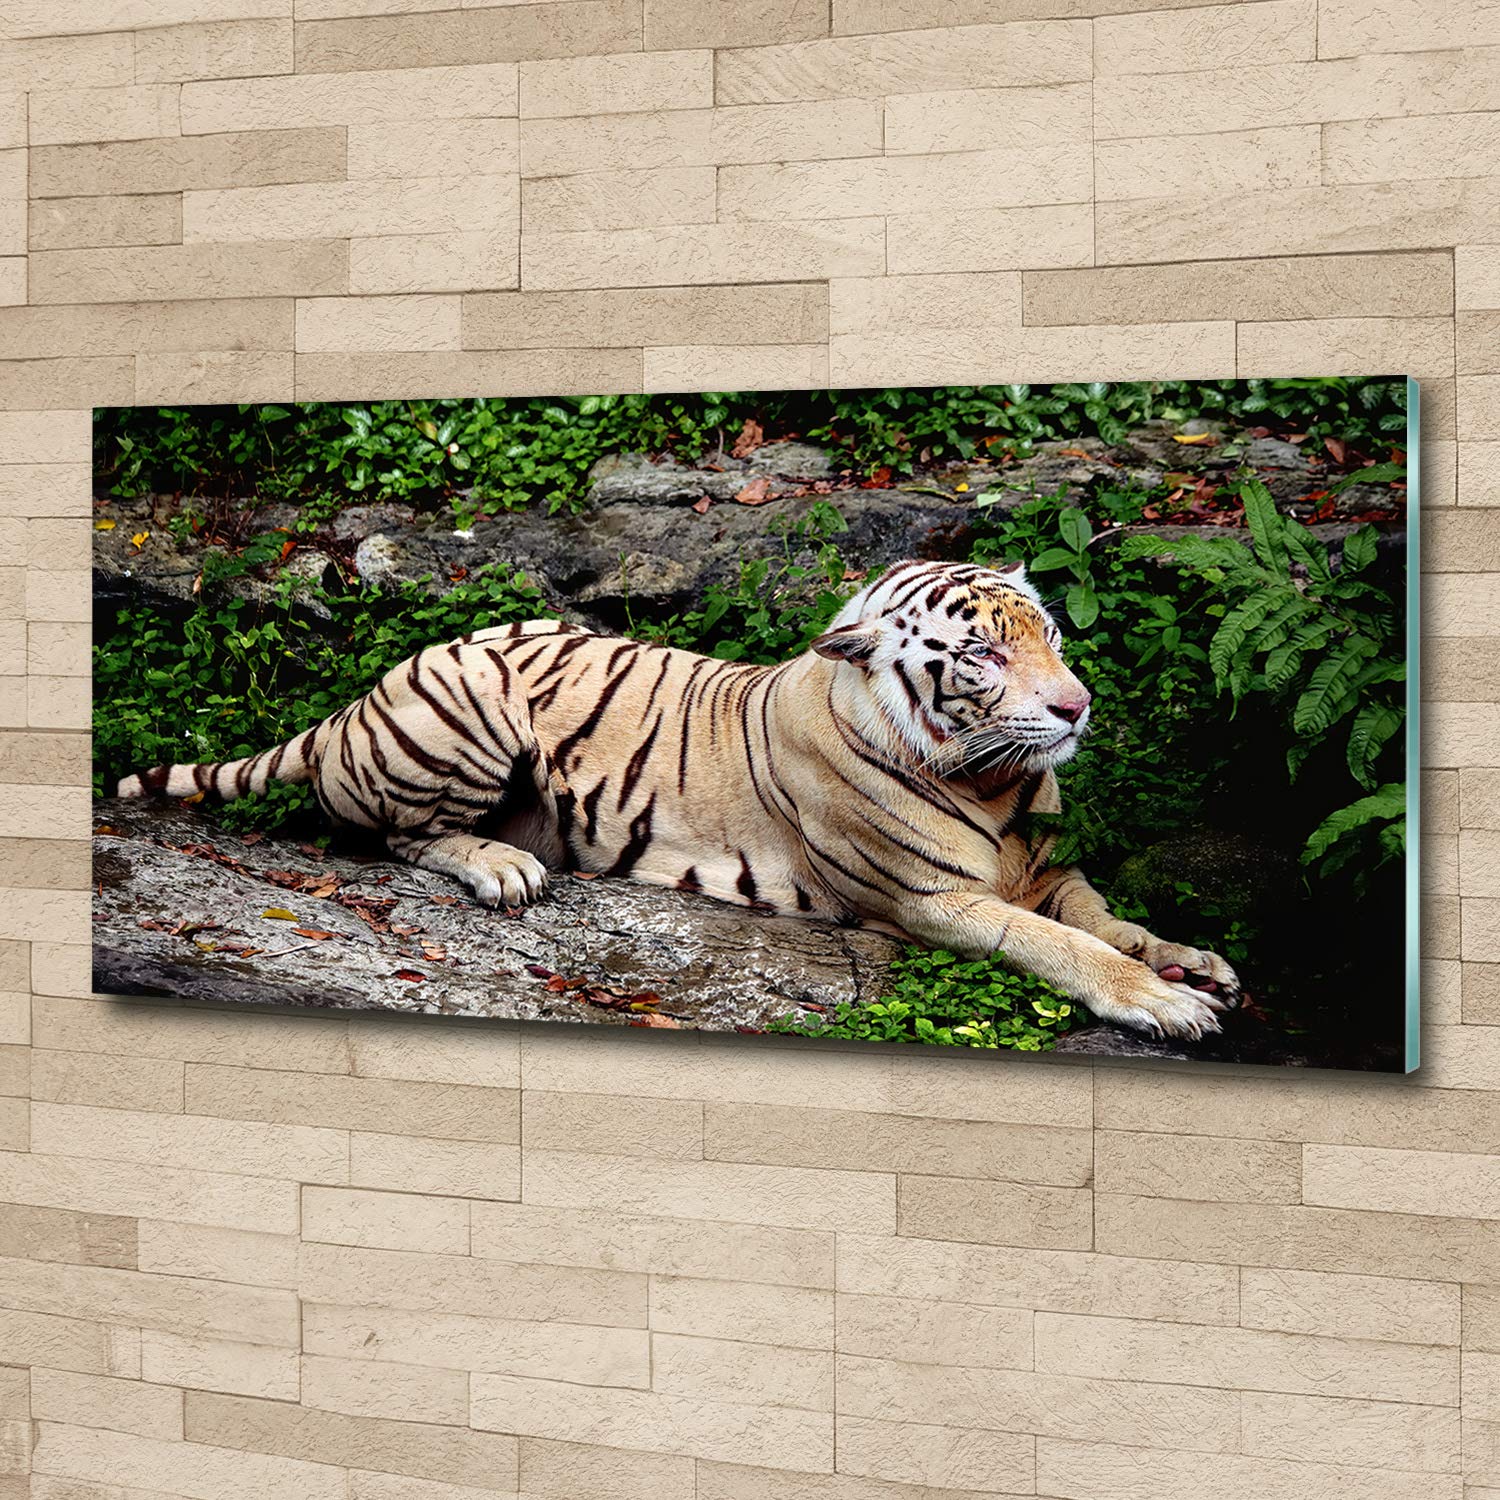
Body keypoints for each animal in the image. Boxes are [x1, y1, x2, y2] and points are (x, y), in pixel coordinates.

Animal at [116, 558, 1240, 1040]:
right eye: (982, 654)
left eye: (1045, 631)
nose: (1077, 707)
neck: (1001, 780)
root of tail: (355, 700)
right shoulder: (930, 902)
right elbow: (1061, 944)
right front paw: (1164, 1002)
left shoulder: (1052, 865)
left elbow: (1107, 916)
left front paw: (1191, 959)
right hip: (471, 701)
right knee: (399, 836)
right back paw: (504, 867)